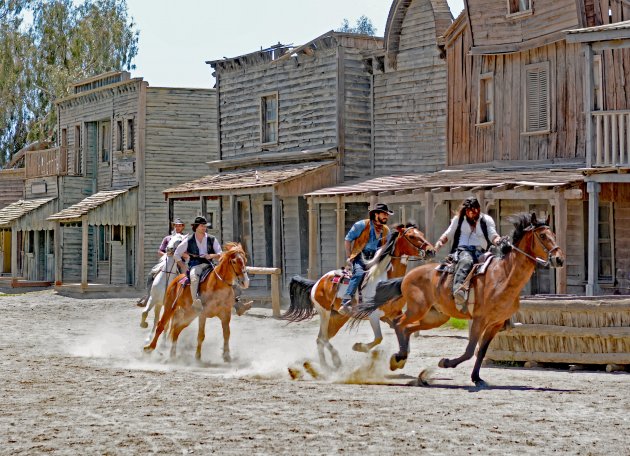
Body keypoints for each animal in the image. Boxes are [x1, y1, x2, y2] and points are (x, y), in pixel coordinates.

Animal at [284, 224, 436, 370]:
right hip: (324, 312)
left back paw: (326, 365)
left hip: (338, 317)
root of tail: (318, 282)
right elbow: (378, 338)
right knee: (322, 338)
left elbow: (404, 335)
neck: (384, 280)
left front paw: (399, 360)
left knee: (321, 339)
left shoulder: (394, 314)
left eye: (421, 234)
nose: (431, 251)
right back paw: (332, 362)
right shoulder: (373, 315)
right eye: (411, 236)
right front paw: (358, 346)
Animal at [356, 212, 568, 386]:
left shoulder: (495, 324)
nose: (559, 259)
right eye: (543, 236)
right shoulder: (479, 320)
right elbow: (469, 350)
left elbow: (480, 351)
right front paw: (446, 362)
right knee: (400, 323)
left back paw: (401, 358)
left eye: (553, 234)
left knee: (407, 328)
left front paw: (477, 378)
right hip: (417, 309)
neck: (503, 276)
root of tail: (408, 276)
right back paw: (398, 357)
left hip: (436, 317)